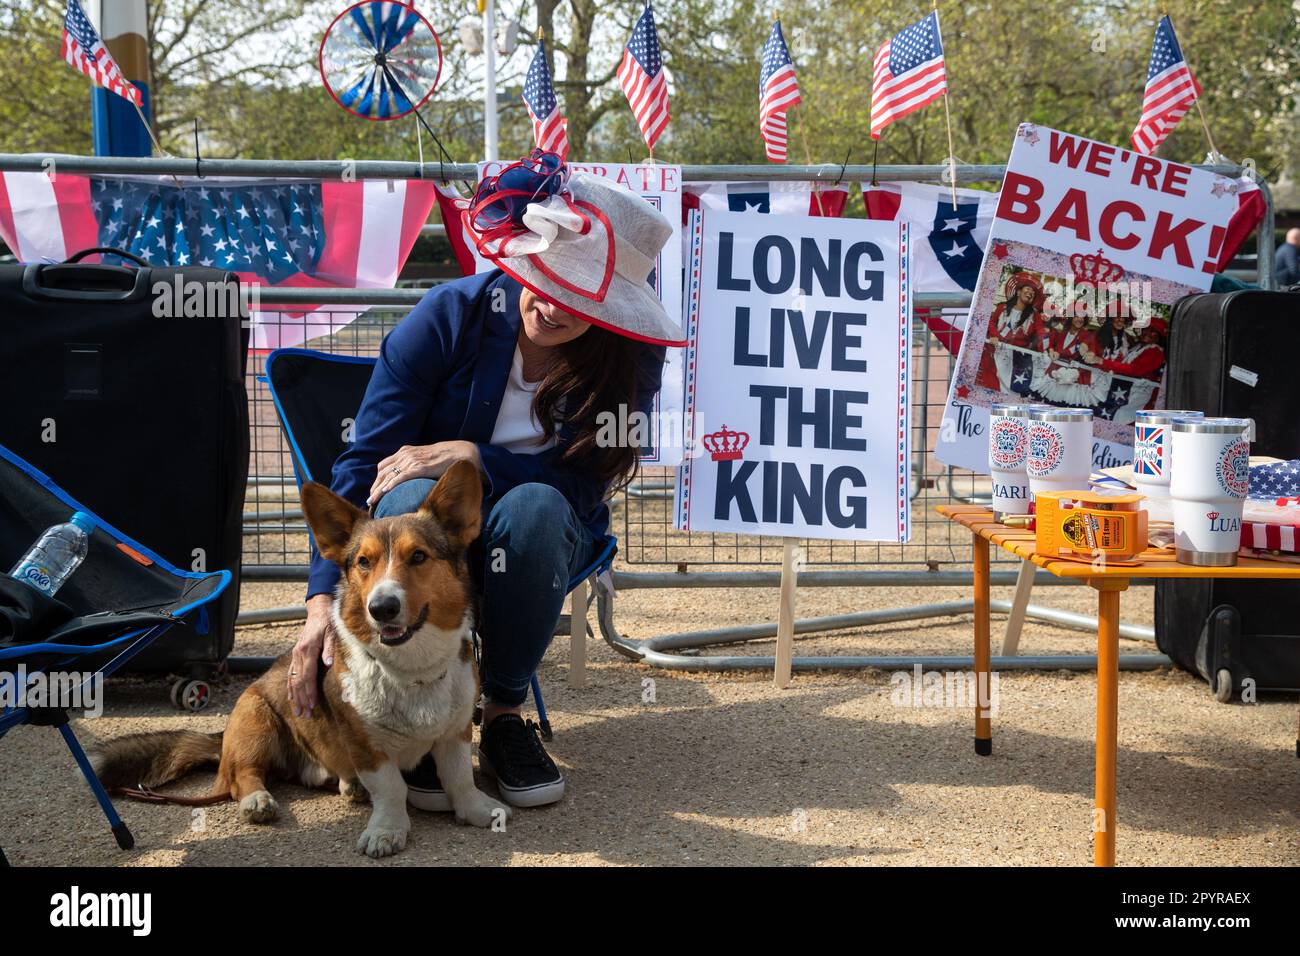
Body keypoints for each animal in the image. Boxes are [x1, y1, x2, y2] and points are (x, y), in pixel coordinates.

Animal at [94, 460, 509, 858]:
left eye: (419, 556)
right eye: (363, 562)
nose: (381, 608)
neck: (412, 669)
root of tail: (221, 740)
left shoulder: (455, 732)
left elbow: (459, 777)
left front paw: (477, 810)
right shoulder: (366, 746)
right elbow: (392, 789)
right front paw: (387, 831)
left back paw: (349, 786)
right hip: (256, 718)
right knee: (240, 776)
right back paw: (258, 800)